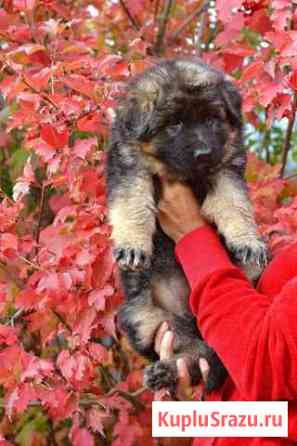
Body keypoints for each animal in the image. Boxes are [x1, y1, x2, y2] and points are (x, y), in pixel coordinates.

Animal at [105, 57, 268, 396]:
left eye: (212, 120)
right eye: (174, 125)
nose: (204, 154)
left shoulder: (226, 168)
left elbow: (233, 202)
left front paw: (247, 239)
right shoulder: (128, 166)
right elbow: (133, 203)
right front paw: (133, 245)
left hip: (247, 277)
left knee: (203, 357)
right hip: (140, 317)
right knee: (192, 355)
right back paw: (164, 373)